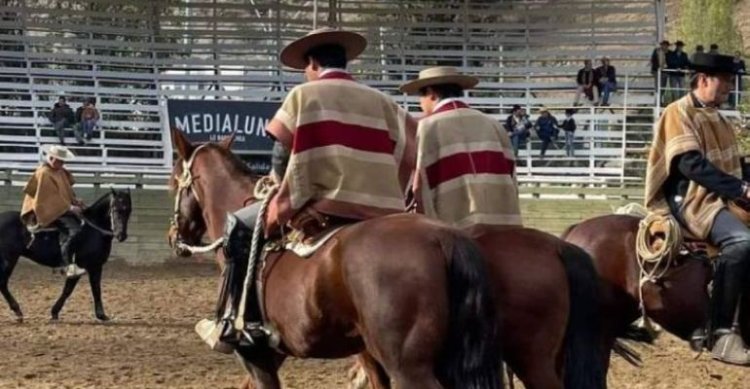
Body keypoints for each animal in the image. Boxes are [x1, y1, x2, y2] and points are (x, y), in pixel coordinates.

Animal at [0, 188, 132, 322]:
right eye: (115, 209)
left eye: (128, 210)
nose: (121, 235)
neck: (93, 230)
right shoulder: (90, 266)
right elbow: (81, 289)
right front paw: (101, 315)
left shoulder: (94, 267)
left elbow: (82, 290)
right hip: (9, 260)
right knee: (2, 283)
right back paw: (17, 311)